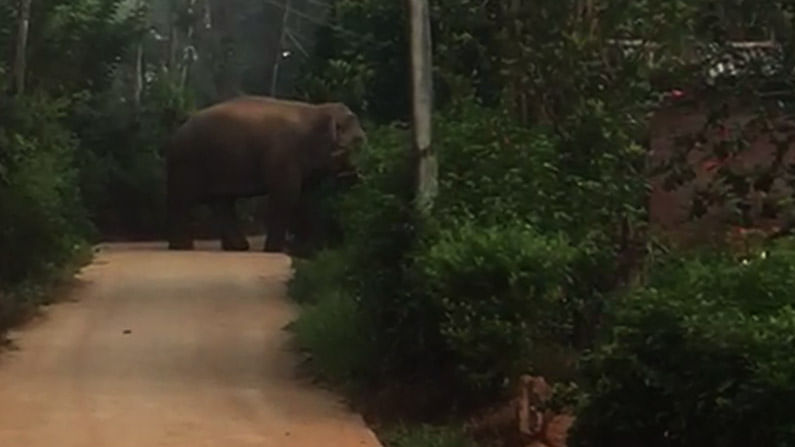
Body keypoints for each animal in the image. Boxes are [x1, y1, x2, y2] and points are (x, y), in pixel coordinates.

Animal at [167, 95, 370, 252]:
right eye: (359, 141)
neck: (317, 110)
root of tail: (176, 134)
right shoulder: (284, 155)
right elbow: (286, 195)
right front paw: (275, 250)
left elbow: (307, 197)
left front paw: (307, 251)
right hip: (188, 162)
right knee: (183, 200)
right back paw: (182, 247)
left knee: (222, 202)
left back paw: (238, 247)